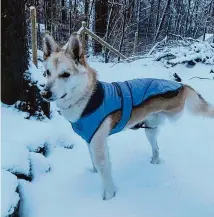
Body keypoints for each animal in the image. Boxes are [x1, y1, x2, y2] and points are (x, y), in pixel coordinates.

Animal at [41, 32, 214, 200]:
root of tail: (180, 84)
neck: (87, 99)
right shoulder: (90, 141)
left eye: (65, 74)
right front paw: (93, 175)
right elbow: (94, 163)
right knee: (156, 148)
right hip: (150, 130)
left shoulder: (99, 144)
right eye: (47, 73)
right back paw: (153, 163)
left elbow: (104, 171)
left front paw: (109, 196)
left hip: (173, 114)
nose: (45, 93)